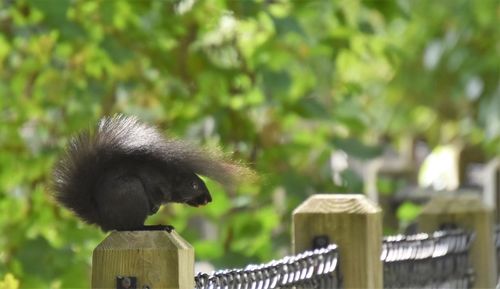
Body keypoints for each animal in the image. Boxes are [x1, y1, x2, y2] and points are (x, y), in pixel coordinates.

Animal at [52, 114, 252, 230]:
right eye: (193, 185)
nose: (208, 199)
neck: (170, 178)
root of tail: (104, 220)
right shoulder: (153, 180)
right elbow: (155, 191)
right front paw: (156, 205)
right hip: (131, 193)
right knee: (131, 227)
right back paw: (156, 227)